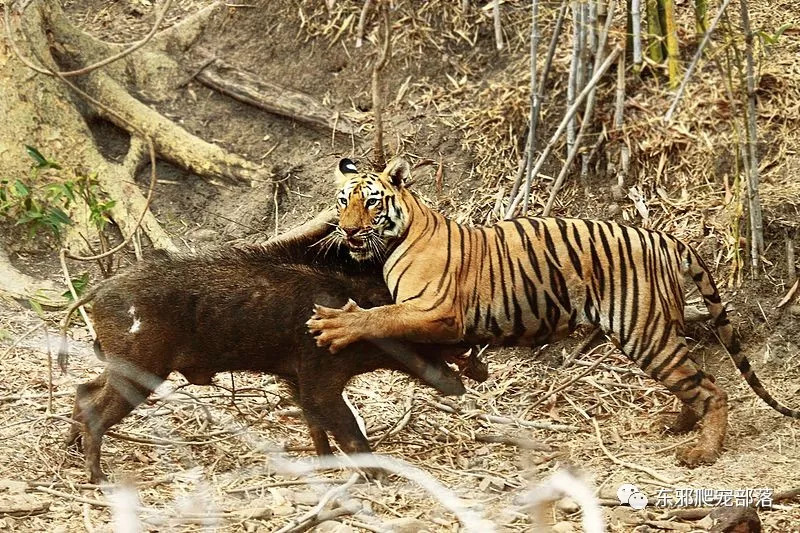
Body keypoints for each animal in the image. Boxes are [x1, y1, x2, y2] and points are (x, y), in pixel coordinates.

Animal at [306, 156, 800, 464]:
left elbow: (379, 315)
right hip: (662, 330)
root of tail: (664, 236)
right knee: (696, 379)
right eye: (343, 201)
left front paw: (334, 324)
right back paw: (677, 426)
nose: (347, 231)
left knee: (711, 388)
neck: (397, 236)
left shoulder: (436, 309)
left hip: (644, 332)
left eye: (371, 201)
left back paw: (703, 451)